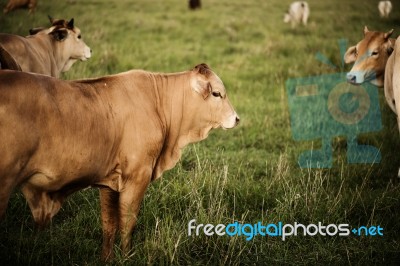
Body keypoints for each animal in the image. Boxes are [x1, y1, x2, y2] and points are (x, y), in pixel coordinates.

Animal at [0, 64, 239, 260]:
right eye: (217, 93)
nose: (236, 119)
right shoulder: (138, 176)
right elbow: (127, 222)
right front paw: (127, 257)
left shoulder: (109, 182)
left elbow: (109, 224)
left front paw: (107, 258)